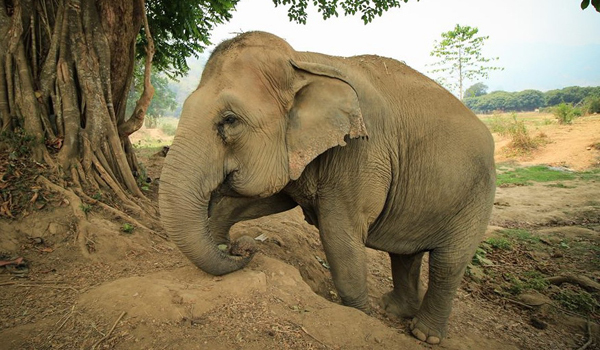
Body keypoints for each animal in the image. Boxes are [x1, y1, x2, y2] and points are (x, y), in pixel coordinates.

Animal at [159, 30, 496, 344]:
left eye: (229, 120)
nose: (242, 247)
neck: (302, 60)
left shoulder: (363, 152)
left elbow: (339, 237)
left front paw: (361, 317)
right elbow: (266, 200)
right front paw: (218, 241)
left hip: (478, 197)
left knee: (447, 263)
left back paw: (424, 334)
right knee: (405, 256)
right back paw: (394, 310)